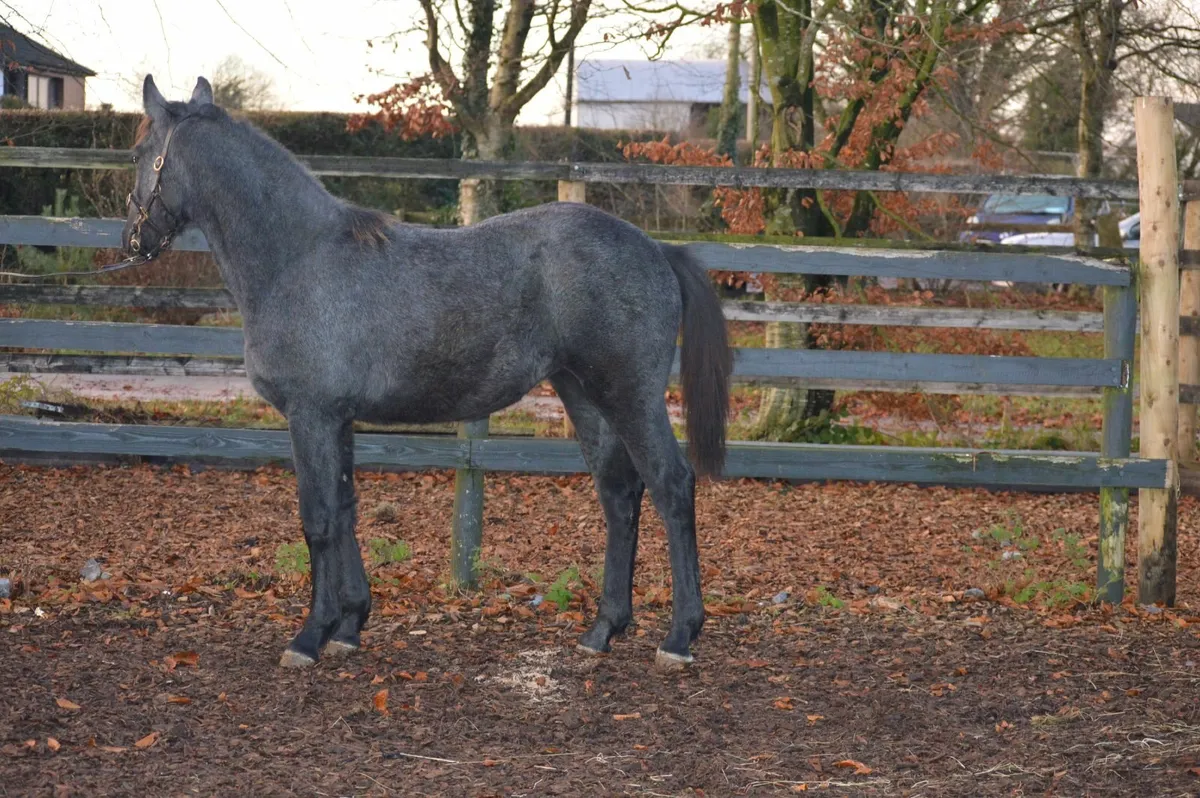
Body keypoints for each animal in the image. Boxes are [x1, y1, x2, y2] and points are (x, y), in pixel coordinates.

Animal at [123, 75, 732, 670]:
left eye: (137, 154)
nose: (134, 241)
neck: (297, 259)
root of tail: (658, 249)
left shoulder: (310, 415)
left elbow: (317, 518)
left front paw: (309, 636)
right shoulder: (338, 419)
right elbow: (345, 509)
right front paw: (349, 625)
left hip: (630, 396)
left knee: (671, 484)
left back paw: (679, 636)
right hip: (584, 396)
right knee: (619, 494)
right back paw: (603, 629)